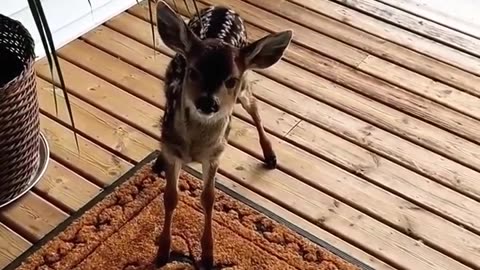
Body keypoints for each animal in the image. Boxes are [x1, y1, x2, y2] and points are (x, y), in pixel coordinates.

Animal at [152, 1, 292, 268]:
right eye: (193, 72)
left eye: (230, 80)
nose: (208, 102)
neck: (195, 147)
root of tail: (223, 7)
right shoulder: (174, 149)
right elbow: (170, 197)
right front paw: (163, 251)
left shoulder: (215, 154)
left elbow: (209, 198)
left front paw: (208, 256)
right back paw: (157, 162)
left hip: (246, 88)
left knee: (255, 109)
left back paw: (270, 156)